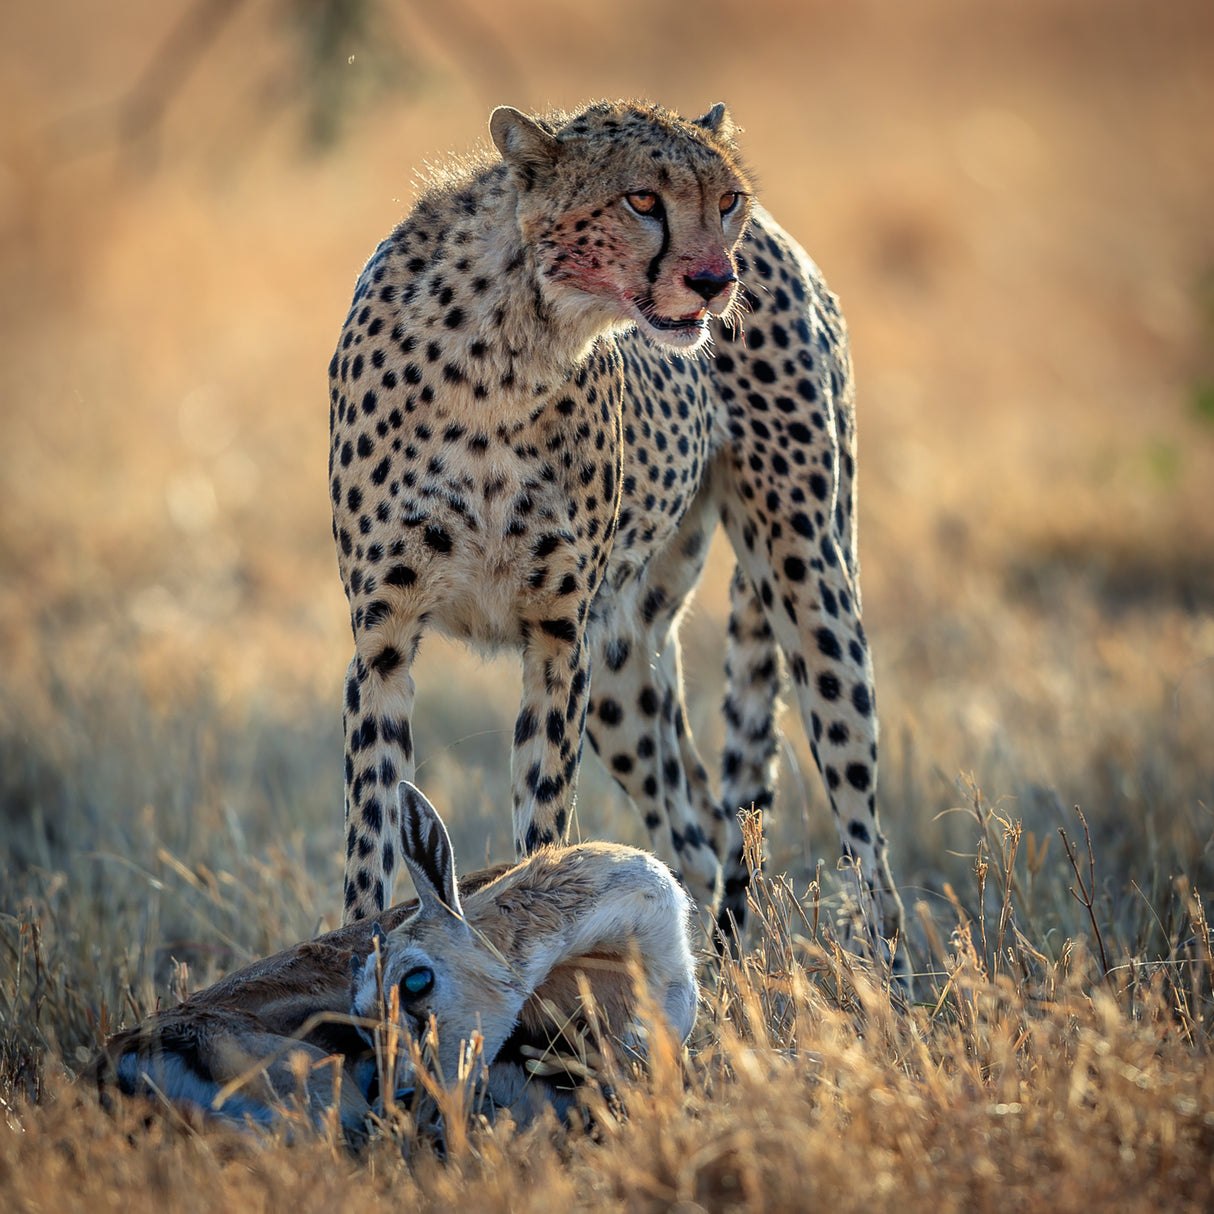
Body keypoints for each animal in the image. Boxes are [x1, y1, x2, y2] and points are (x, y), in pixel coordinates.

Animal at [328, 99, 910, 991]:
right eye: (642, 201)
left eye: (726, 199)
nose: (715, 282)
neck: (509, 347)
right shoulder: (384, 640)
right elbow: (371, 836)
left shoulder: (557, 639)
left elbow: (543, 829)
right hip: (623, 668)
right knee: (703, 835)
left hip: (809, 581)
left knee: (864, 840)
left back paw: (897, 996)